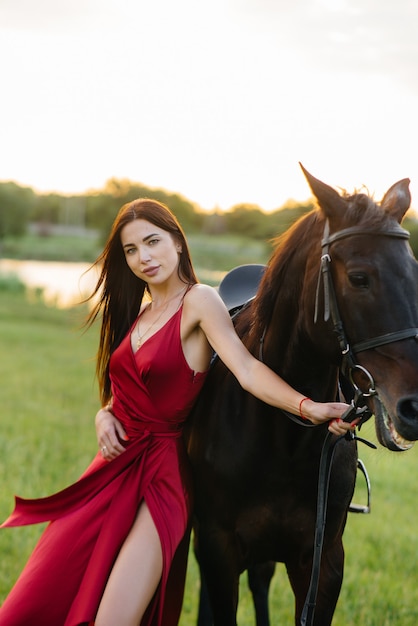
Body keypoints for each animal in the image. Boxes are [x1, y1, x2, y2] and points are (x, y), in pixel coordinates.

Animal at [187, 167, 418, 624]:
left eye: (415, 275)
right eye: (359, 277)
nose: (416, 406)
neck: (280, 433)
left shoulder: (322, 562)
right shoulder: (218, 550)